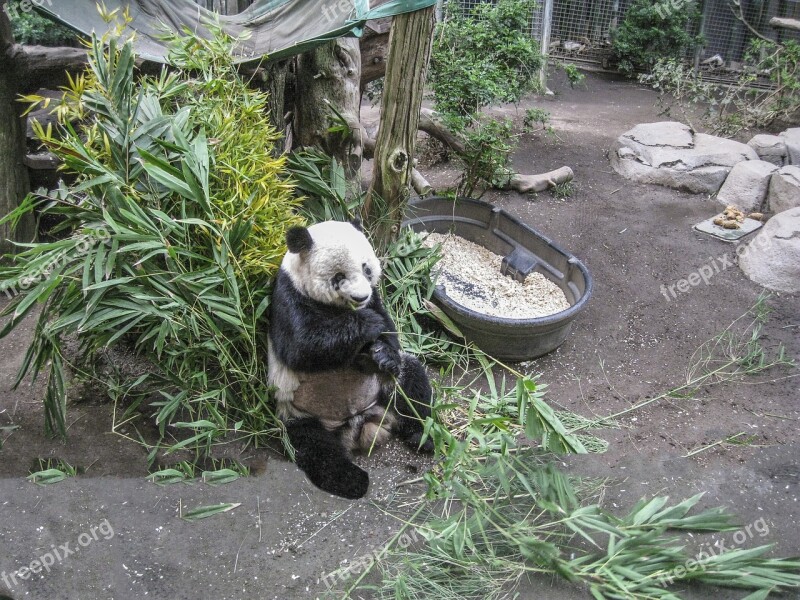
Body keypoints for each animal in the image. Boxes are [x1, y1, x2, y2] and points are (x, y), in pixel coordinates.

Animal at [268, 219, 432, 496]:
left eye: (366, 269)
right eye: (339, 277)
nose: (360, 297)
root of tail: (359, 422)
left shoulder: (376, 297)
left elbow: (390, 334)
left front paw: (380, 354)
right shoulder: (289, 298)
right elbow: (302, 347)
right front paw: (366, 324)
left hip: (386, 387)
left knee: (412, 386)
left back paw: (421, 436)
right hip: (298, 411)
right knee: (316, 448)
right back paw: (353, 481)